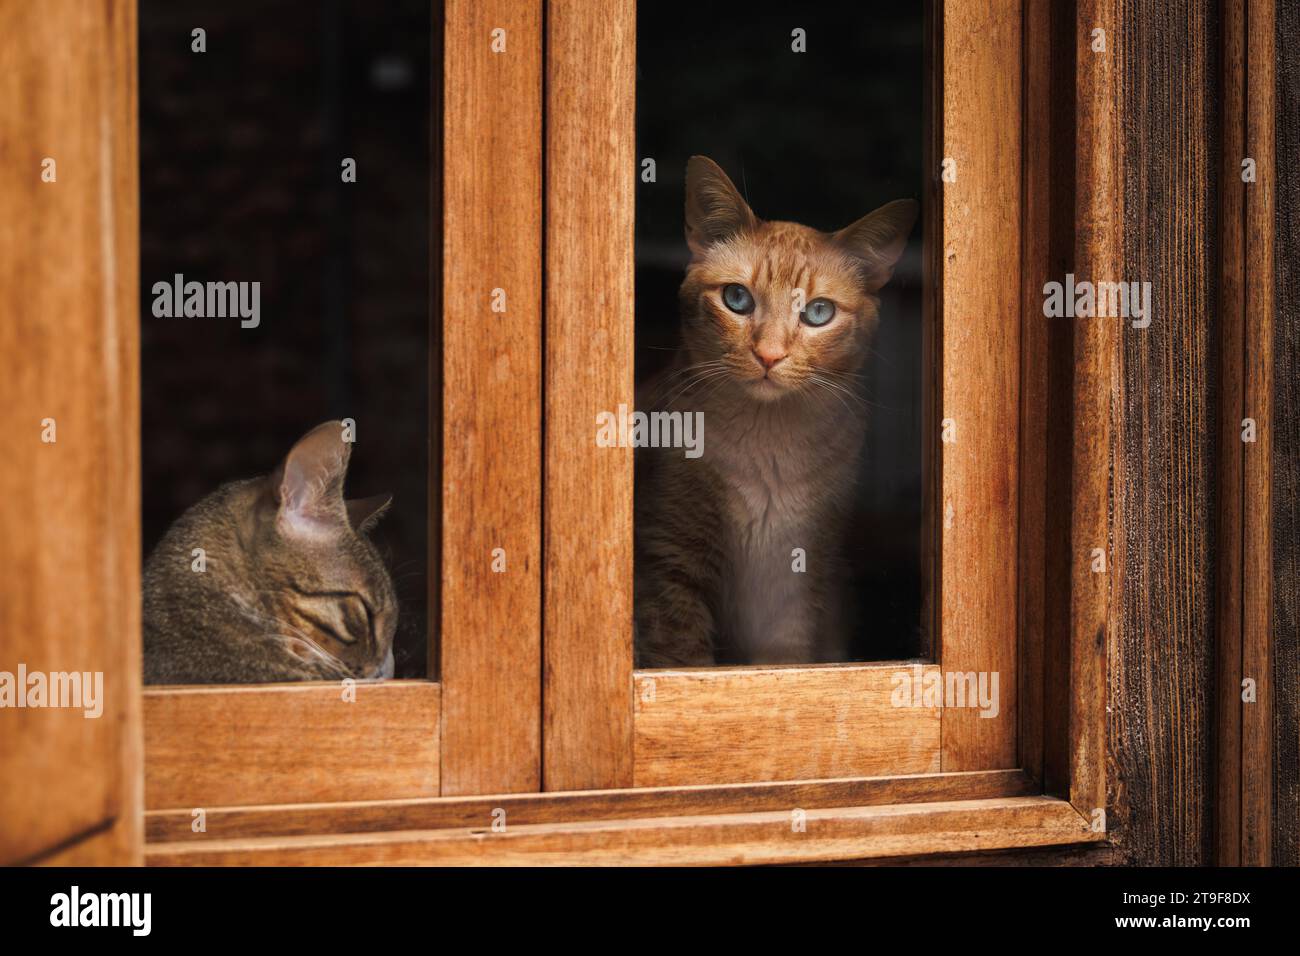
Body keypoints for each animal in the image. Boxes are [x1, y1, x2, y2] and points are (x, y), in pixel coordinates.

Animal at [629, 155, 915, 665]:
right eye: (737, 299)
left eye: (818, 313)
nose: (769, 355)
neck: (767, 443)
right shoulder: (672, 564)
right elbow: (685, 663)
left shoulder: (799, 579)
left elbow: (786, 666)